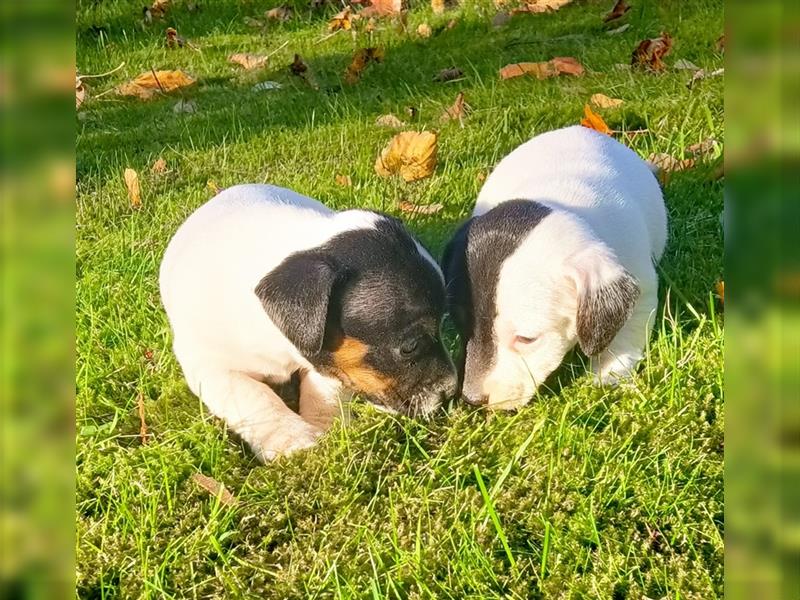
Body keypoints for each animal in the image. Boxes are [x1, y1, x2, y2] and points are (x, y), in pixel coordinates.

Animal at [161, 185, 456, 462]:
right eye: (409, 346)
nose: (451, 392)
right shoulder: (210, 366)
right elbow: (254, 396)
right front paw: (295, 440)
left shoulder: (330, 365)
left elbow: (326, 385)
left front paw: (330, 429)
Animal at [444, 126, 668, 408]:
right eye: (459, 321)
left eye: (527, 339)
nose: (472, 399)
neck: (563, 201)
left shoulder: (642, 289)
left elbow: (627, 334)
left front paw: (609, 373)